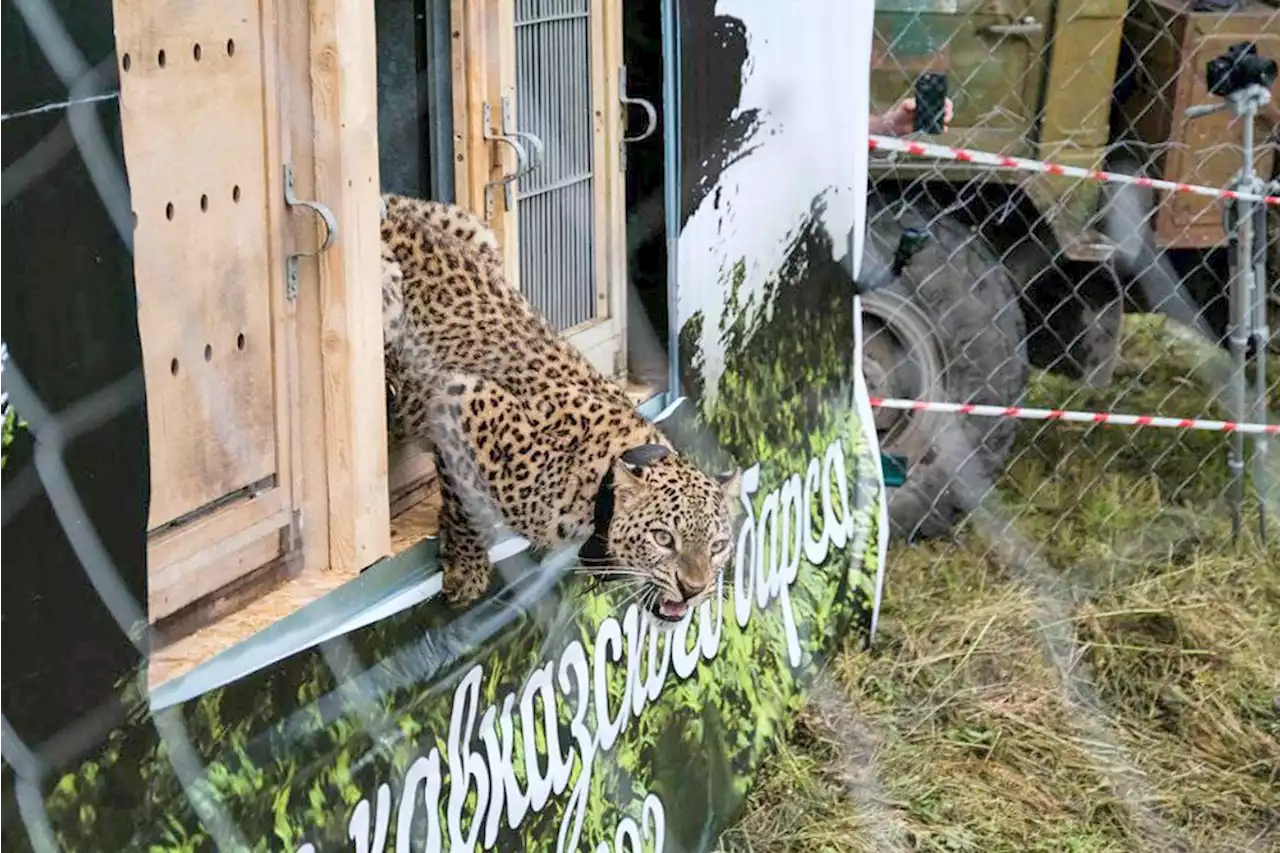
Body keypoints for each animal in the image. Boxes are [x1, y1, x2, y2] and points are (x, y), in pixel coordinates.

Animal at [378, 192, 742, 617]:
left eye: (718, 546)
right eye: (663, 538)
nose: (693, 588)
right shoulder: (462, 396)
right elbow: (465, 501)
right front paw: (467, 568)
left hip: (476, 232)